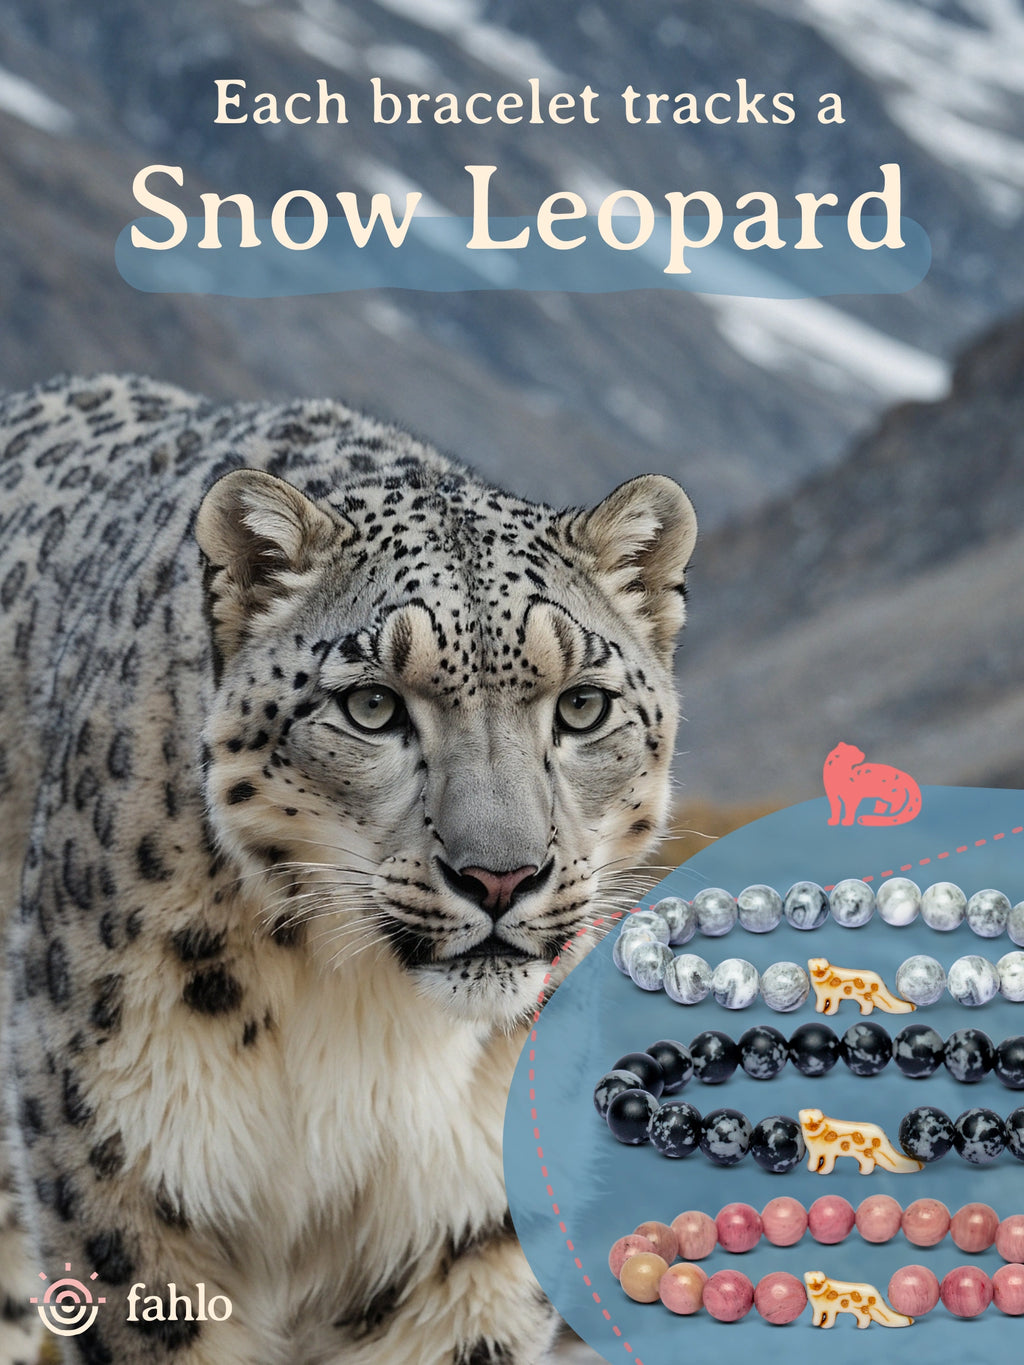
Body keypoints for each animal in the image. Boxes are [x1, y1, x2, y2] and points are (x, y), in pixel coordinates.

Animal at [0, 374, 697, 1365]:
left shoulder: (462, 1236)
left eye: (582, 706)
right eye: (373, 705)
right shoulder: (131, 1188)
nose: (500, 877)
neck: (366, 1029)